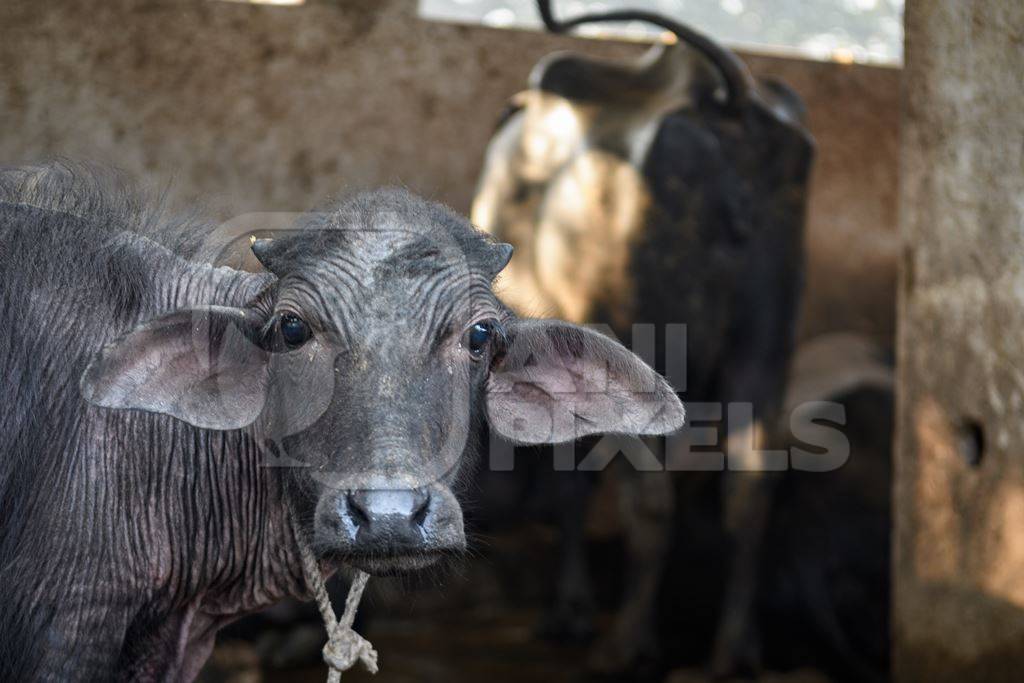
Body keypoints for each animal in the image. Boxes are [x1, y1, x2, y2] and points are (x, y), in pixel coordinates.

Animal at [471, 2, 815, 675]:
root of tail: (729, 104)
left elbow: (573, 485)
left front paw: (571, 612)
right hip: (766, 343)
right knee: (751, 489)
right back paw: (735, 649)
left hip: (642, 348)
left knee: (650, 501)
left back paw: (625, 643)